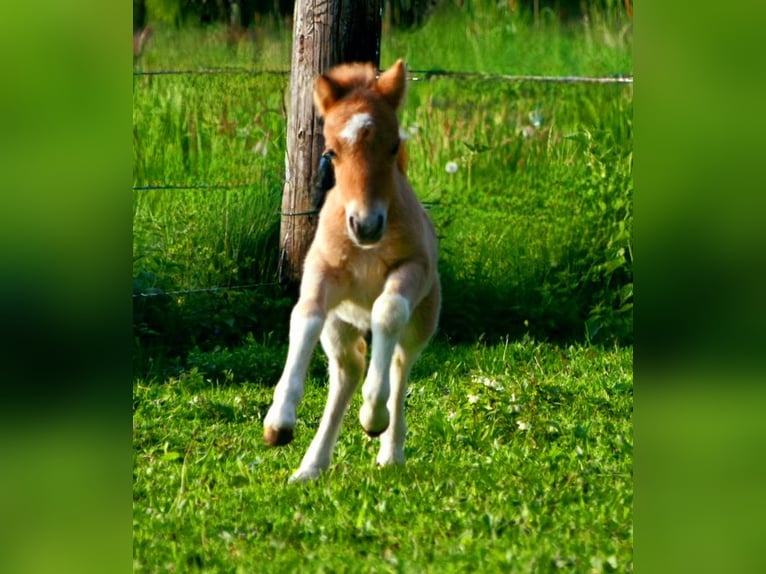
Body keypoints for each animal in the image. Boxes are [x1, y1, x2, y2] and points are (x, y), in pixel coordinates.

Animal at [266, 59, 440, 482]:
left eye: (394, 146)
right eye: (330, 152)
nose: (365, 224)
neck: (365, 252)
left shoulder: (414, 267)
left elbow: (388, 312)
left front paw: (373, 416)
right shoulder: (321, 272)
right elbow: (304, 315)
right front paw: (279, 420)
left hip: (423, 321)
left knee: (398, 365)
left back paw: (389, 450)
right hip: (339, 328)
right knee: (347, 374)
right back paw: (311, 466)